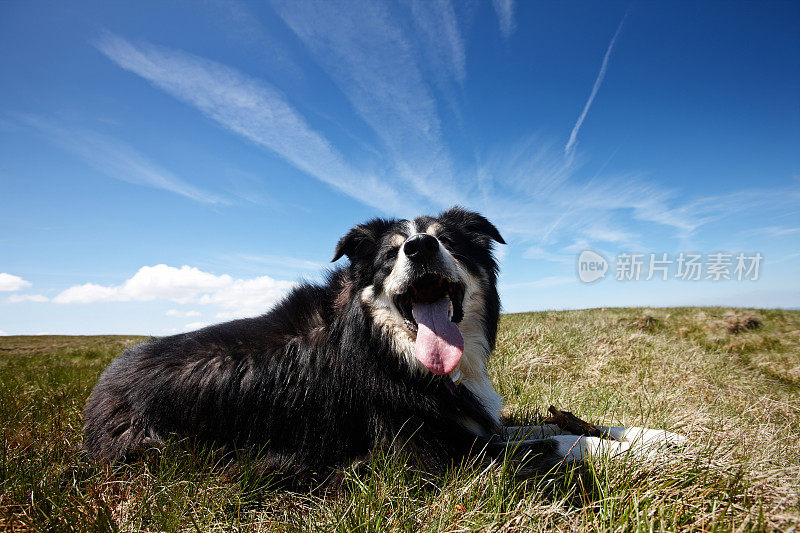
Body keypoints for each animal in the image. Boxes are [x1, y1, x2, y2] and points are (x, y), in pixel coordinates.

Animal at [81, 207, 684, 478]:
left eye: (445, 241)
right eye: (392, 254)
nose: (420, 248)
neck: (388, 348)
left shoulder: (470, 419)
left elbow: (550, 425)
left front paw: (657, 435)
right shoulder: (432, 455)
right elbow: (556, 443)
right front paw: (636, 453)